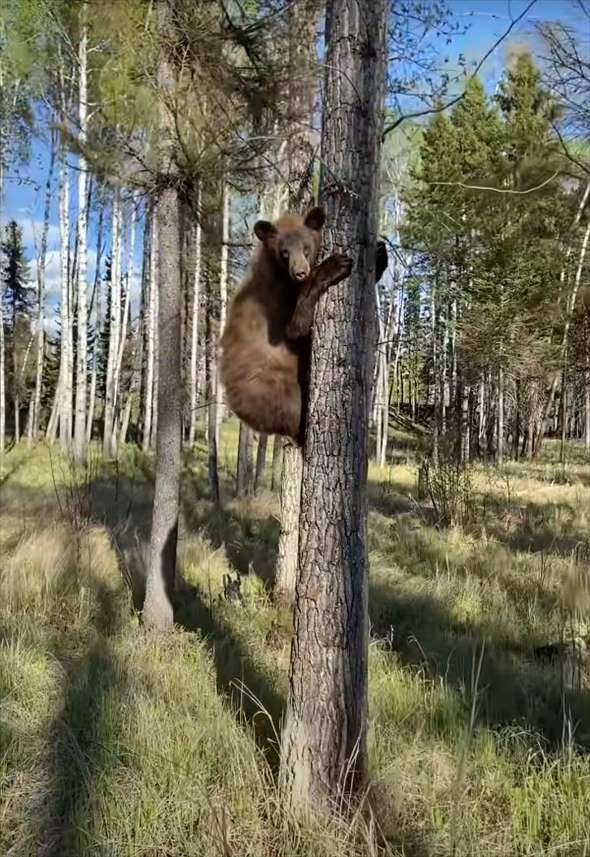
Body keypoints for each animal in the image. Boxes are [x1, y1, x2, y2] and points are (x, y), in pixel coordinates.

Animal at [219, 206, 388, 444]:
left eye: (306, 248)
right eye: (285, 252)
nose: (300, 272)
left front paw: (380, 255)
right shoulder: (277, 302)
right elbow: (295, 329)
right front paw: (334, 265)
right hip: (277, 388)